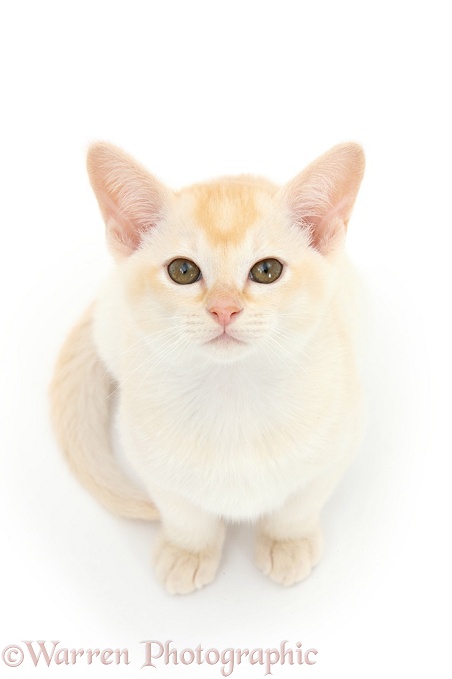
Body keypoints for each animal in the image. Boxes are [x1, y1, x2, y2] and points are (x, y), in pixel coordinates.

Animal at [50, 143, 368, 596]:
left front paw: (287, 543)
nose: (224, 309)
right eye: (183, 271)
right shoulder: (149, 460)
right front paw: (188, 551)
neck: (233, 395)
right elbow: (184, 511)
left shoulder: (339, 442)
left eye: (267, 270)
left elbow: (300, 503)